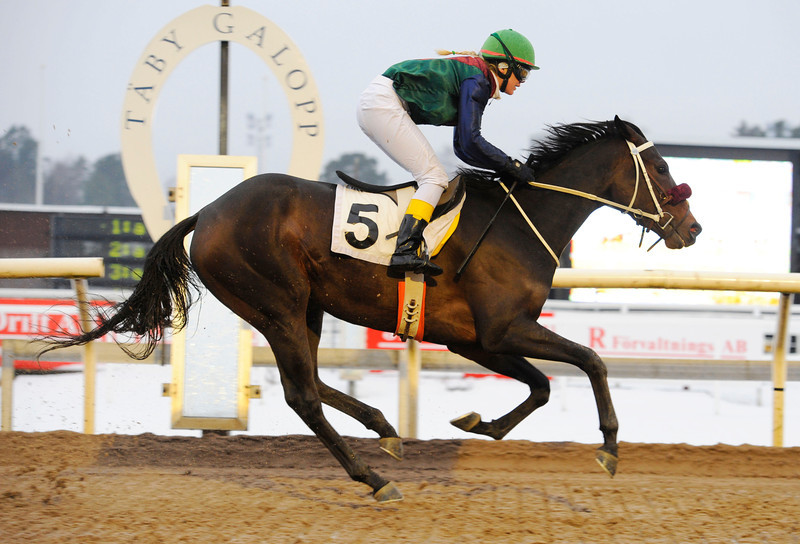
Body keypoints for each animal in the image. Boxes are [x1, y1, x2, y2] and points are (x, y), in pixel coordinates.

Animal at [48, 118, 700, 502]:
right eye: (662, 167)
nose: (691, 228)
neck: (521, 223)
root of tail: (207, 212)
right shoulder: (502, 329)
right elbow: (591, 360)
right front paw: (610, 447)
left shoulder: (476, 339)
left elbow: (540, 386)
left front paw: (477, 423)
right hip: (277, 304)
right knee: (302, 394)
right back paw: (374, 477)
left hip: (304, 309)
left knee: (309, 382)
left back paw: (384, 430)